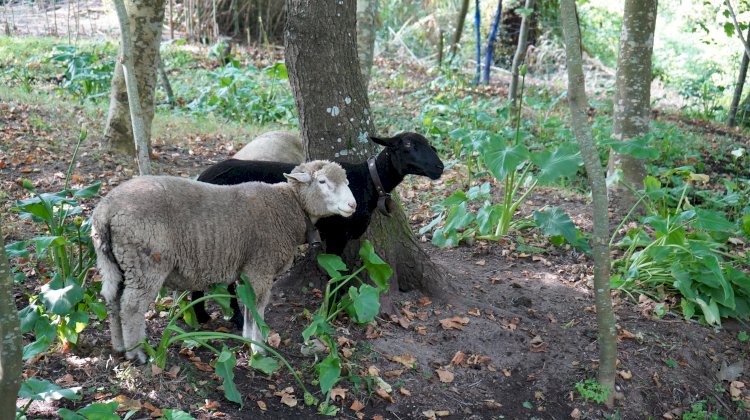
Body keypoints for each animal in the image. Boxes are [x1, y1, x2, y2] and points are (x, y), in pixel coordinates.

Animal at [90, 159, 356, 362]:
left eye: (347, 182)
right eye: (322, 182)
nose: (353, 204)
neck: (288, 205)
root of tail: (105, 209)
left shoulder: (247, 270)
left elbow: (248, 306)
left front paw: (248, 339)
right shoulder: (260, 267)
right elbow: (258, 307)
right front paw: (258, 349)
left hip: (115, 261)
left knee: (113, 300)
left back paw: (119, 346)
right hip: (145, 263)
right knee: (131, 307)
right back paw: (138, 354)